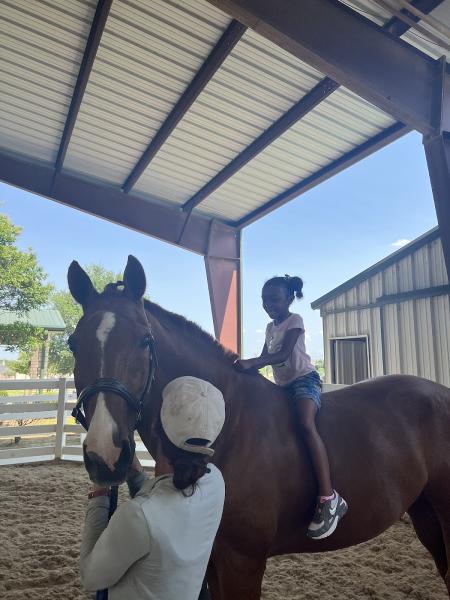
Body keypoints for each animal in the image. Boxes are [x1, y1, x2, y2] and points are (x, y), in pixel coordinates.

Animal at [67, 255, 450, 596]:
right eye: (73, 343)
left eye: (145, 341)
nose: (105, 453)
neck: (229, 424)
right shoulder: (212, 561)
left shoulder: (243, 562)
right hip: (426, 515)